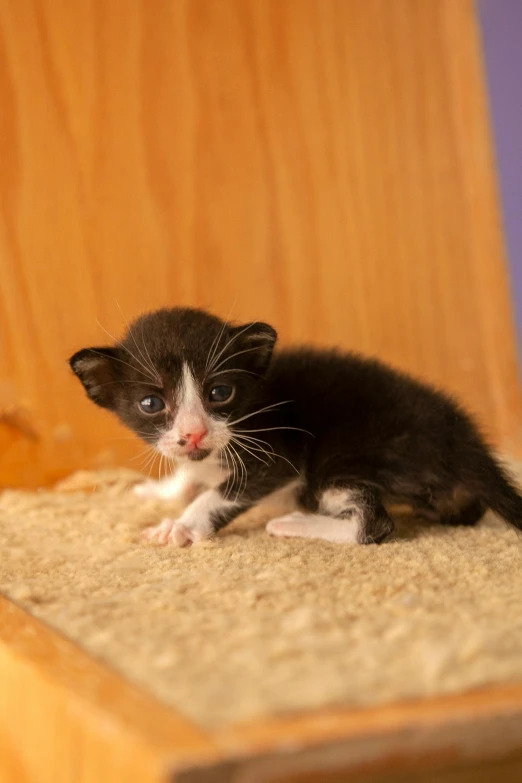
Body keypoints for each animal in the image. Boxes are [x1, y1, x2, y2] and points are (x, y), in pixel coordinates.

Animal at [69, 306, 520, 544]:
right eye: (151, 403)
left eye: (220, 392)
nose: (194, 432)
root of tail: (464, 443)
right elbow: (188, 473)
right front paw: (162, 489)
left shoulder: (276, 455)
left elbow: (219, 493)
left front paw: (182, 524)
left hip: (346, 453)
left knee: (374, 523)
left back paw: (293, 522)